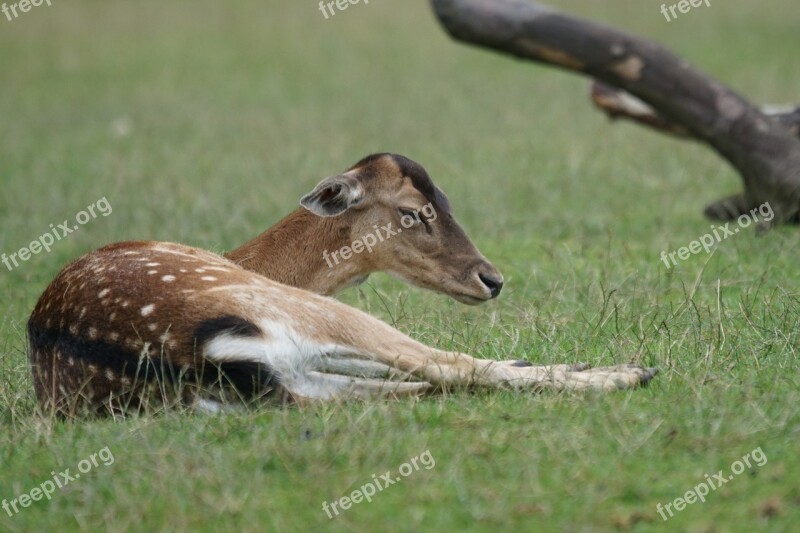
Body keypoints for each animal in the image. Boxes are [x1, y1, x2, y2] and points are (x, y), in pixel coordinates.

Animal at [28, 152, 660, 418]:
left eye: (447, 199)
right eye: (413, 211)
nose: (492, 279)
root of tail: (191, 354)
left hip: (296, 383)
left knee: (426, 379)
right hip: (314, 315)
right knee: (448, 366)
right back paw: (629, 372)